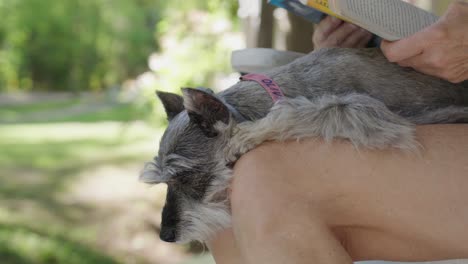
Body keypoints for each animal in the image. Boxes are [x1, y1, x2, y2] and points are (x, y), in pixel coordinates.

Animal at [139, 48, 468, 243]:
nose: (165, 235)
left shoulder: (364, 112)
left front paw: (250, 134)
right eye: (164, 182)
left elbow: (303, 111)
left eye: (186, 177)